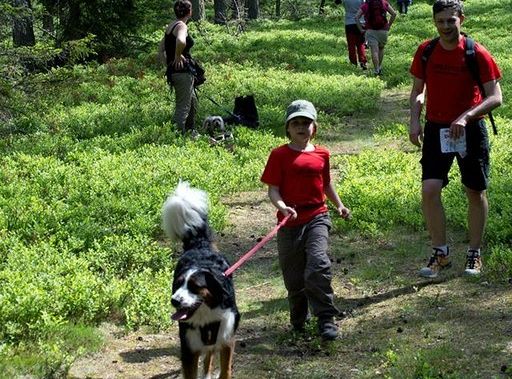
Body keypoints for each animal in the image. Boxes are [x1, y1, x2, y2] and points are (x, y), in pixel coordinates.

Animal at [162, 182, 240, 379]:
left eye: (194, 286)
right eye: (177, 284)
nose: (174, 301)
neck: (205, 316)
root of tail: (200, 245)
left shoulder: (226, 340)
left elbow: (225, 371)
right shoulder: (189, 348)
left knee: (209, 355)